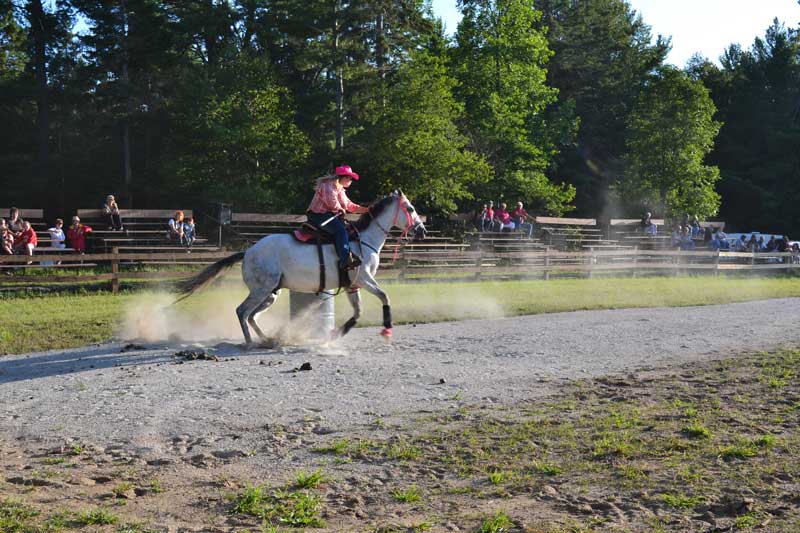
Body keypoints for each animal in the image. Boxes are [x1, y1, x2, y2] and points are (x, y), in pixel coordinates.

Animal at [174, 191, 426, 345]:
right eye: (410, 208)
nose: (422, 230)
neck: (363, 240)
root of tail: (249, 251)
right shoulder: (364, 279)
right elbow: (384, 296)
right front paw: (387, 329)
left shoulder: (352, 284)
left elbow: (358, 312)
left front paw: (336, 333)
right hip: (262, 290)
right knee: (242, 311)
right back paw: (250, 343)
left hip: (270, 293)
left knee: (252, 315)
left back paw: (268, 340)